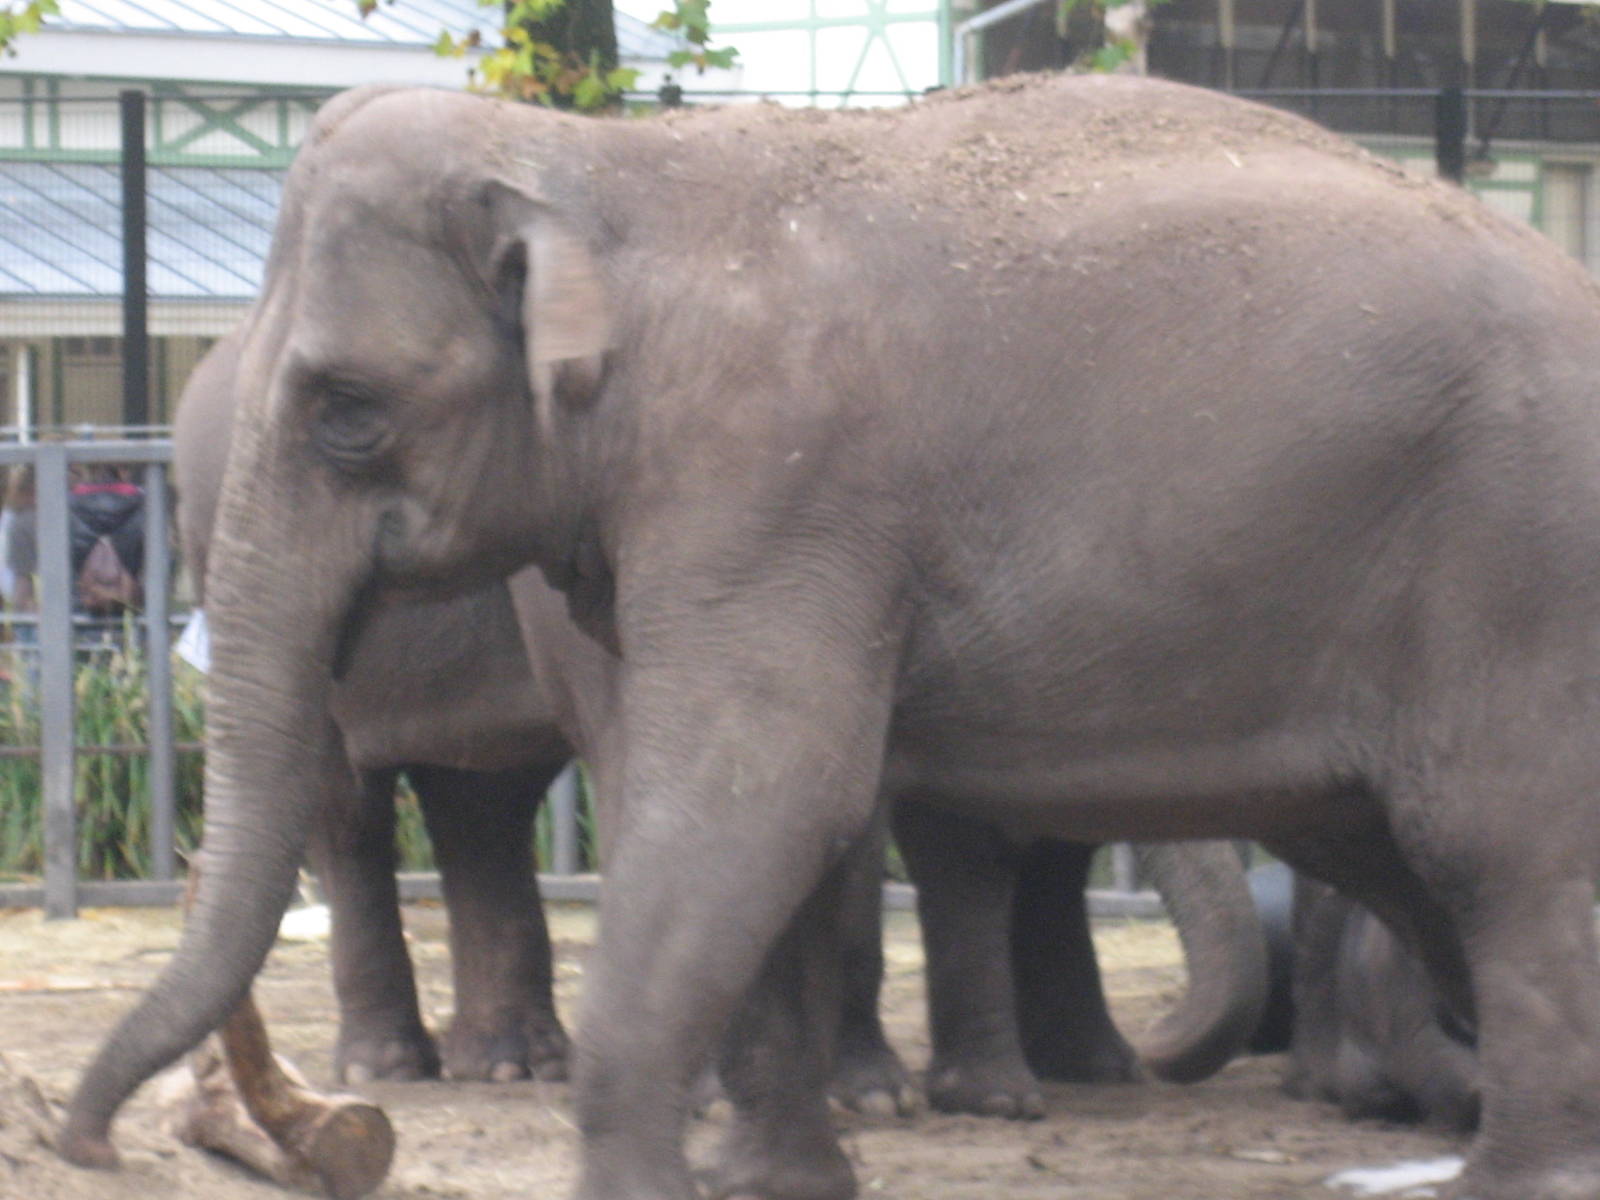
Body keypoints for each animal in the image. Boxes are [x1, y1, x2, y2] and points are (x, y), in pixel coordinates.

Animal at [174, 330, 1267, 1113]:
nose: (1167, 1043)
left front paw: (1074, 1074)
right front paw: (866, 1095)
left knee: (480, 804)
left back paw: (518, 1066)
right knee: (349, 807)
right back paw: (391, 1069)